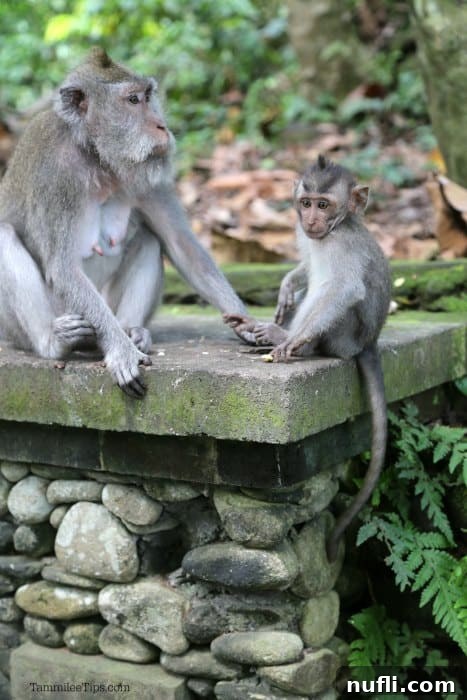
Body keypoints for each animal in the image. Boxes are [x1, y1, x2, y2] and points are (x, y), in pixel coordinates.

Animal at [0, 48, 249, 397]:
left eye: (148, 96)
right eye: (132, 100)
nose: (161, 125)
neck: (97, 158)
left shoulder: (145, 174)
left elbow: (180, 244)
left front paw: (252, 324)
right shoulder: (56, 177)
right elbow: (63, 268)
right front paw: (120, 351)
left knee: (149, 240)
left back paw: (132, 332)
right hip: (19, 325)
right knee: (4, 236)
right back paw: (55, 343)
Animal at [225, 156, 392, 561]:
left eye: (324, 204)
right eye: (306, 203)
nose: (311, 220)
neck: (336, 227)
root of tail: (368, 343)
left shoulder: (341, 245)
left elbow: (344, 288)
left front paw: (294, 338)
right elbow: (304, 268)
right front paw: (287, 285)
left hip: (344, 335)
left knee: (329, 294)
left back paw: (285, 339)